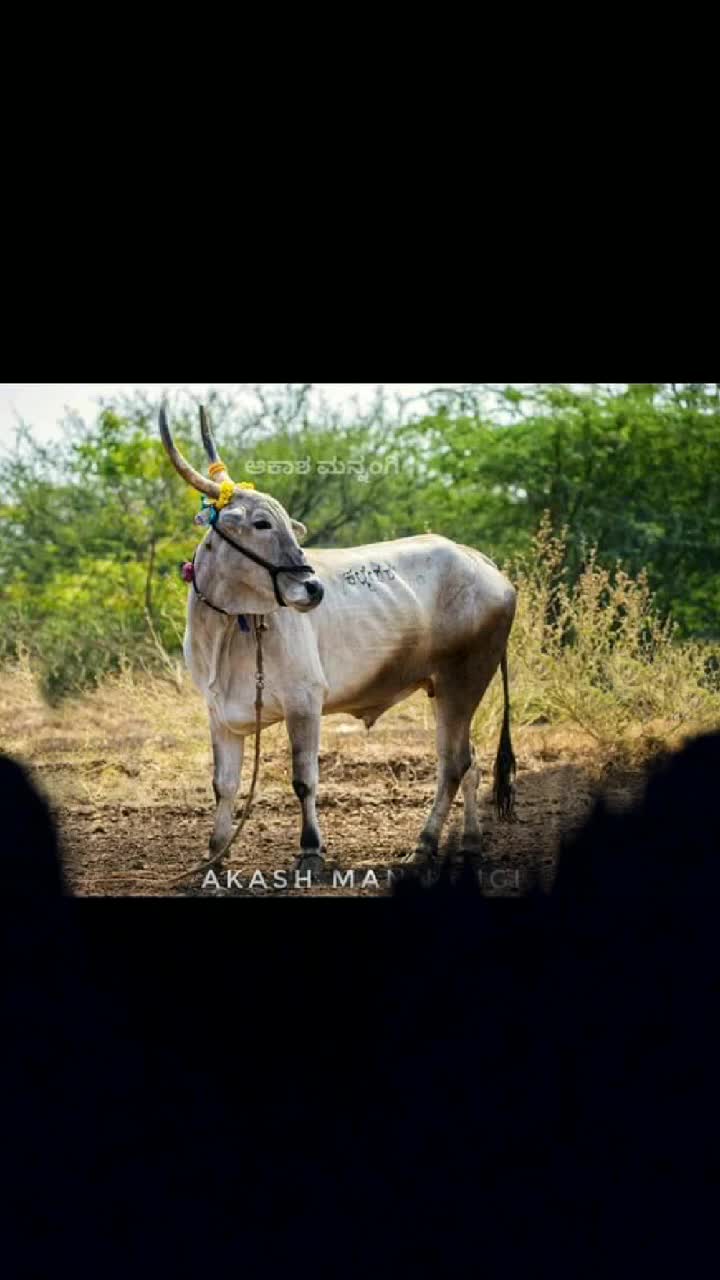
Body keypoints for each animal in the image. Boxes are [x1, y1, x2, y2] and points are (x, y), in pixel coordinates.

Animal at [159, 406, 517, 878]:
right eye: (261, 523)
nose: (313, 589)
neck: (227, 629)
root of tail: (479, 560)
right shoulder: (220, 714)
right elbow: (225, 785)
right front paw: (214, 855)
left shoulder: (304, 702)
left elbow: (303, 779)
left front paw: (311, 850)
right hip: (447, 689)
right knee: (471, 763)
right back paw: (470, 846)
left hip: (465, 680)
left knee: (453, 766)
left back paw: (423, 846)